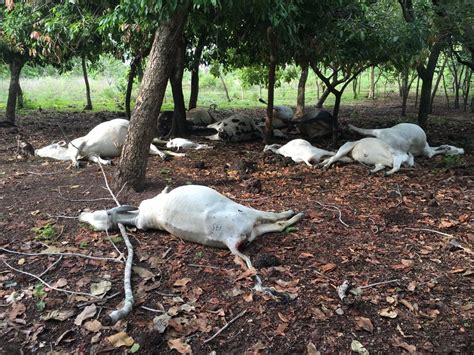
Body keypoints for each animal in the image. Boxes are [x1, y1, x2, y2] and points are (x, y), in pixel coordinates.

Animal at [35, 119, 172, 168]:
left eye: (52, 146)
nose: (36, 150)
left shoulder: (78, 144)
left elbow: (74, 155)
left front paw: (75, 163)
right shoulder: (92, 153)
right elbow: (97, 159)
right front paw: (107, 161)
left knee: (154, 146)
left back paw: (164, 154)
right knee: (152, 148)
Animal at [79, 185, 304, 296]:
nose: (82, 214)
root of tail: (231, 241)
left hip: (252, 229)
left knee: (277, 225)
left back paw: (295, 216)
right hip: (247, 215)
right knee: (273, 218)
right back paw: (295, 213)